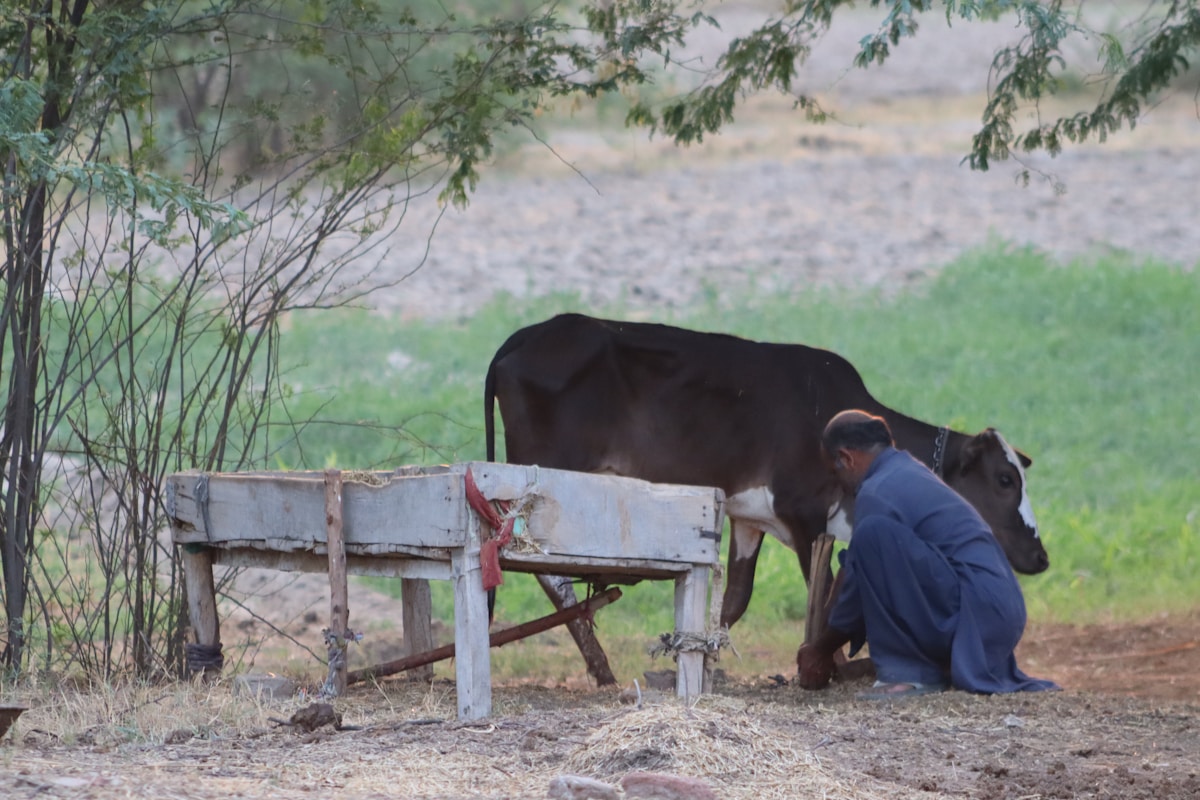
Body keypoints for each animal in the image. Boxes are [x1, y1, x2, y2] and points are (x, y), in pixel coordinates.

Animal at [483, 313, 1048, 636]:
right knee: (542, 572)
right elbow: (821, 597)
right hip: (540, 481)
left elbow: (733, 603)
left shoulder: (749, 518)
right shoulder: (806, 516)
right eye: (1004, 480)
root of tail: (528, 334)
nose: (1041, 556)